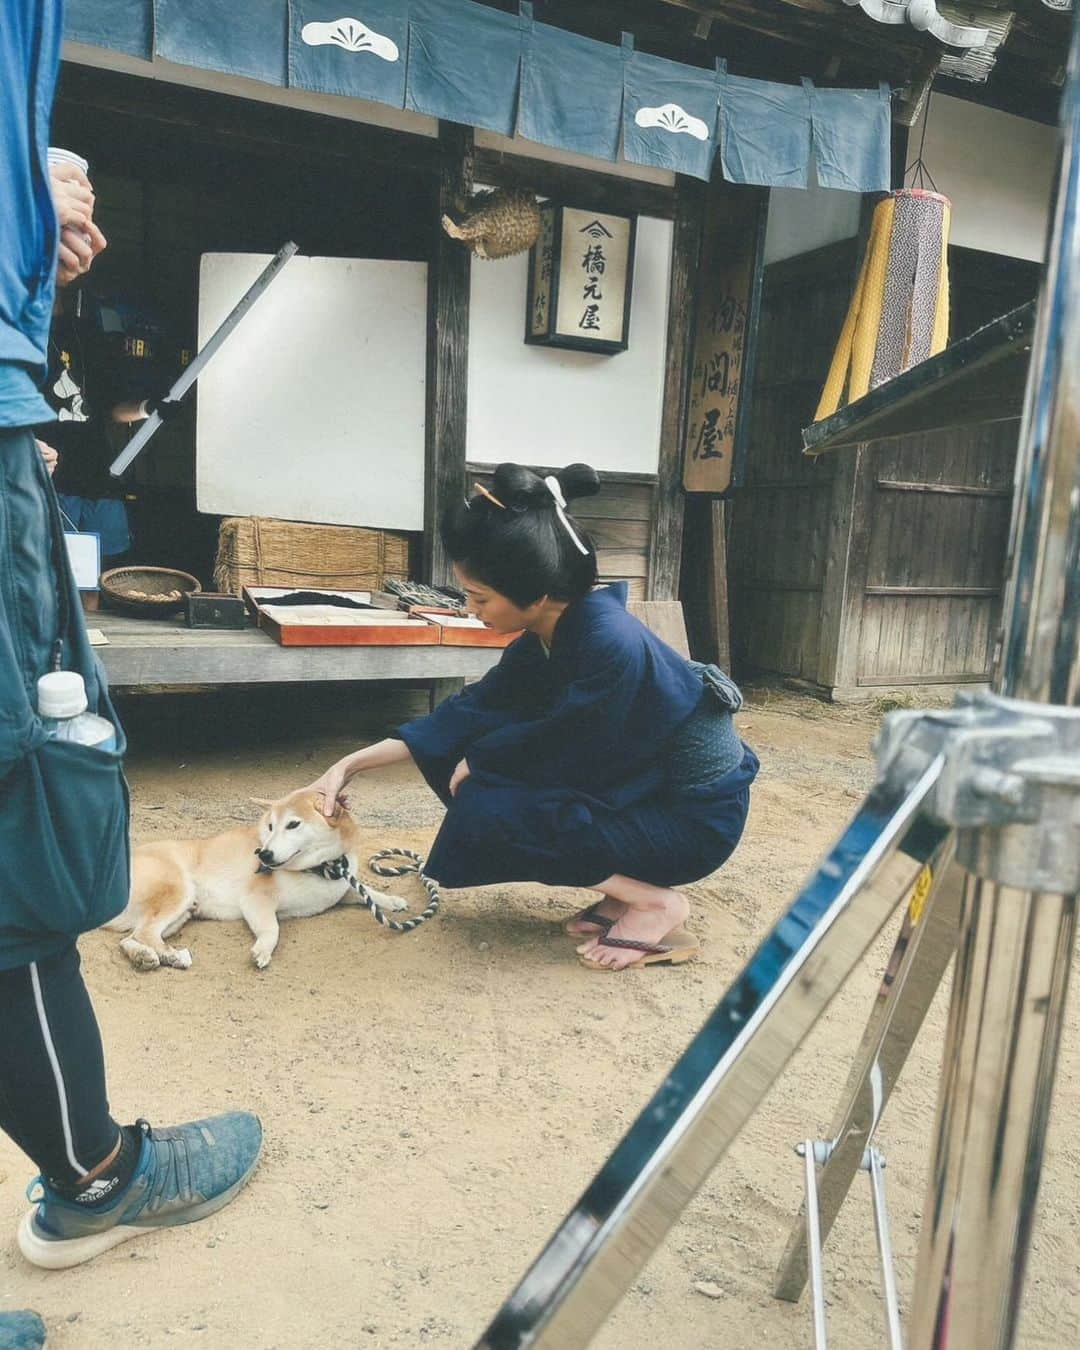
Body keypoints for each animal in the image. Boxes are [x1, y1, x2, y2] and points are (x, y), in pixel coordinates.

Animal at [105, 788, 405, 972]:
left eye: (293, 824)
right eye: (270, 826)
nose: (264, 853)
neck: (321, 868)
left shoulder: (341, 889)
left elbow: (368, 892)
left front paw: (393, 901)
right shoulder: (255, 900)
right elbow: (272, 929)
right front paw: (262, 951)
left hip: (182, 912)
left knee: (133, 936)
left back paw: (145, 957)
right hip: (180, 891)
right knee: (145, 932)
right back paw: (172, 955)